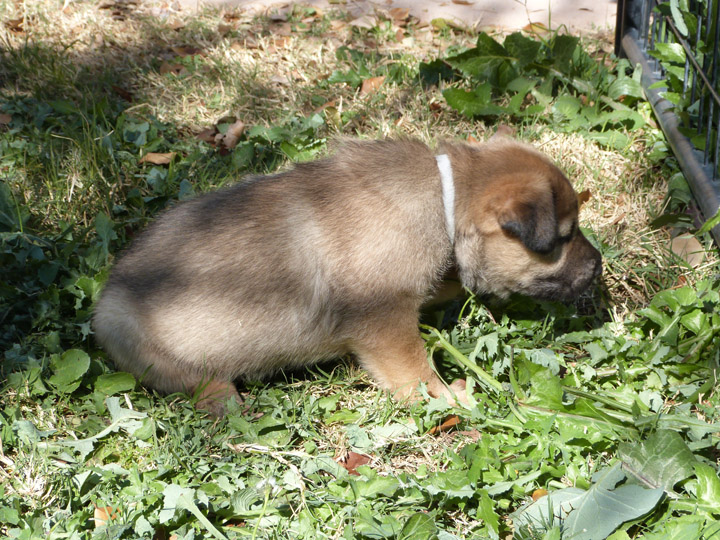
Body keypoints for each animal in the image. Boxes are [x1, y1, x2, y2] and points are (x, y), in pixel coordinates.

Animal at [93, 130, 604, 414]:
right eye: (564, 236)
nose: (598, 267)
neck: (444, 200)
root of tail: (104, 303)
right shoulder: (385, 321)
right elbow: (414, 370)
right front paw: (447, 397)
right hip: (146, 345)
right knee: (193, 381)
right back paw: (224, 400)